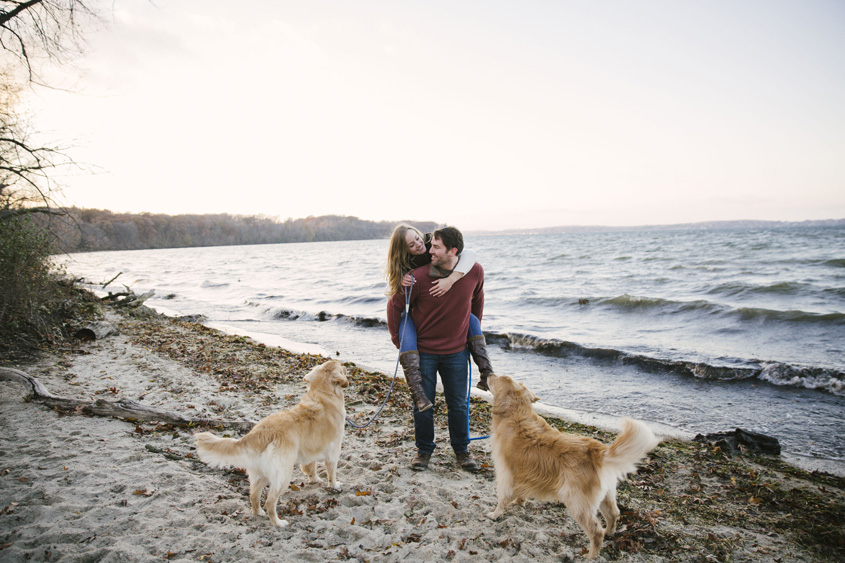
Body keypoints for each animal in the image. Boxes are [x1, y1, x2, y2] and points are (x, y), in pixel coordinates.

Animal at [482, 374, 660, 560]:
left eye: (497, 379)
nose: (489, 374)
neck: (516, 412)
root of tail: (597, 450)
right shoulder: (521, 473)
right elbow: (520, 491)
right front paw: (519, 502)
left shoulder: (505, 473)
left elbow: (502, 498)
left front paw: (495, 514)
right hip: (606, 495)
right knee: (614, 514)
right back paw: (609, 533)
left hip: (577, 503)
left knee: (595, 531)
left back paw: (591, 556)